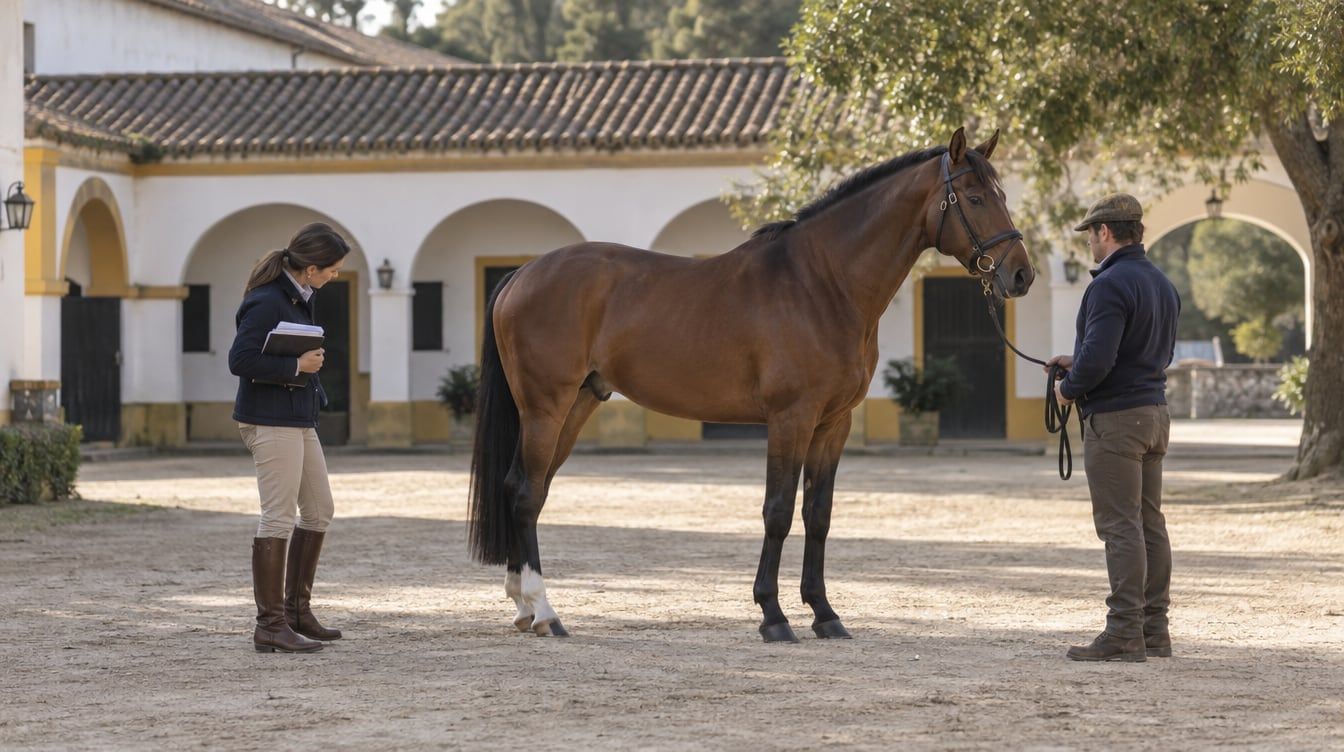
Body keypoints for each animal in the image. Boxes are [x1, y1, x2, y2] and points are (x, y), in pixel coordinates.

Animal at [468, 127, 1035, 642]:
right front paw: (773, 615)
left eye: (1004, 195)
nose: (1021, 276)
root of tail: (521, 274)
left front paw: (825, 614)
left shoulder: (834, 423)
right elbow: (778, 511)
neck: (821, 283)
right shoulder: (791, 418)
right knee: (525, 492)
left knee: (530, 488)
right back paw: (545, 613)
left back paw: (524, 608)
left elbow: (818, 514)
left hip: (578, 404)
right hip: (546, 407)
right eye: (976, 197)